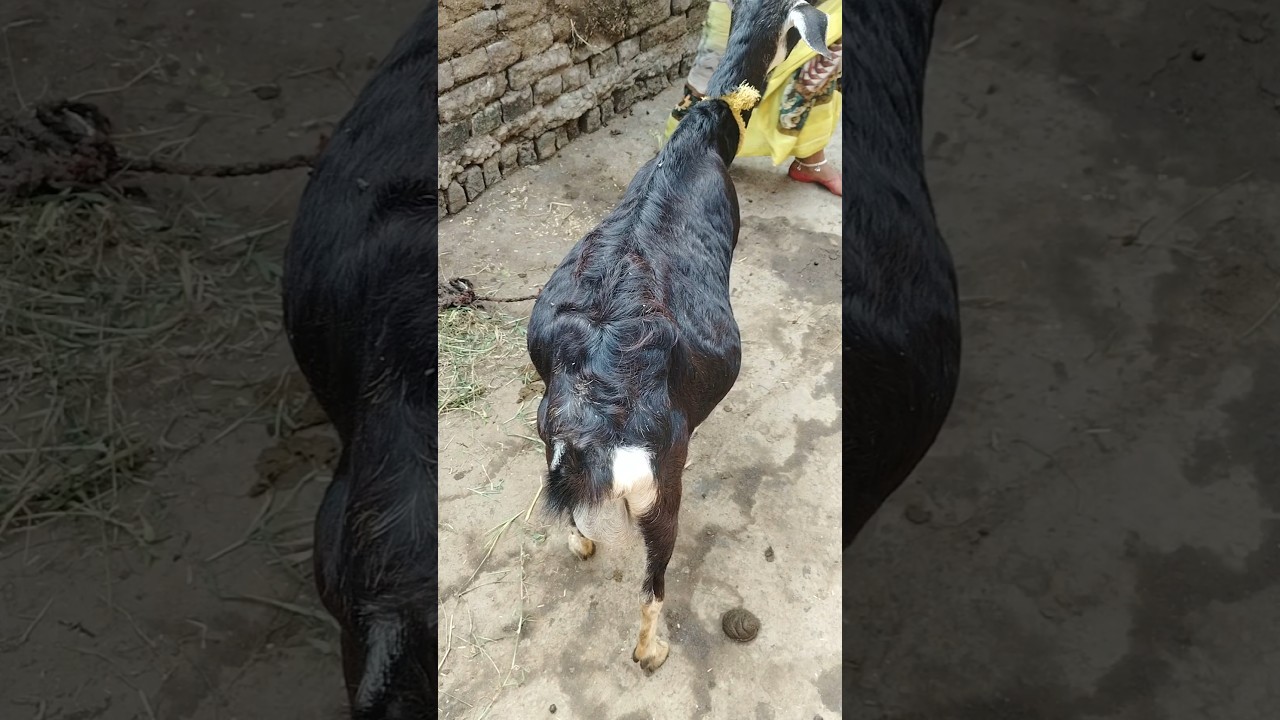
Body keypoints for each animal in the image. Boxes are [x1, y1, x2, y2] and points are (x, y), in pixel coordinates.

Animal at [527, 0, 834, 674]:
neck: (697, 141)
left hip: (547, 427)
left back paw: (582, 545)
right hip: (660, 487)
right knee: (654, 578)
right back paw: (651, 651)